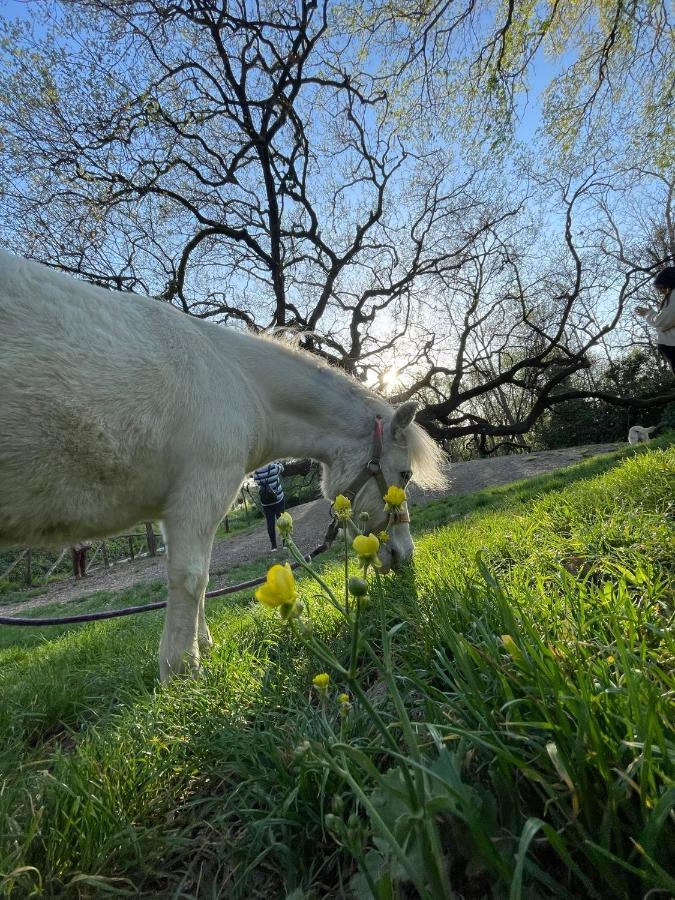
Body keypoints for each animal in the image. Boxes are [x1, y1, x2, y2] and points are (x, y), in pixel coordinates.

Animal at [0, 250, 446, 680]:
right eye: (404, 475)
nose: (405, 555)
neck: (241, 383)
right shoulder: (200, 496)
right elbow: (191, 577)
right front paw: (182, 672)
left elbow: (202, 581)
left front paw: (204, 649)